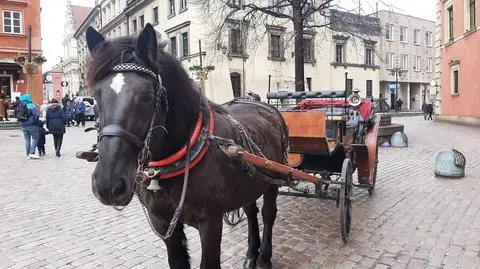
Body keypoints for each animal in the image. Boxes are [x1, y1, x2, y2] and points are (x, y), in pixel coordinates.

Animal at [85, 23, 288, 268]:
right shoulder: (163, 222)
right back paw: (251, 253)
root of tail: (266, 106)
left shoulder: (211, 222)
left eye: (147, 96)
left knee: (268, 213)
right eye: (96, 96)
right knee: (250, 210)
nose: (108, 184)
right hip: (250, 181)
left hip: (273, 180)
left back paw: (264, 257)